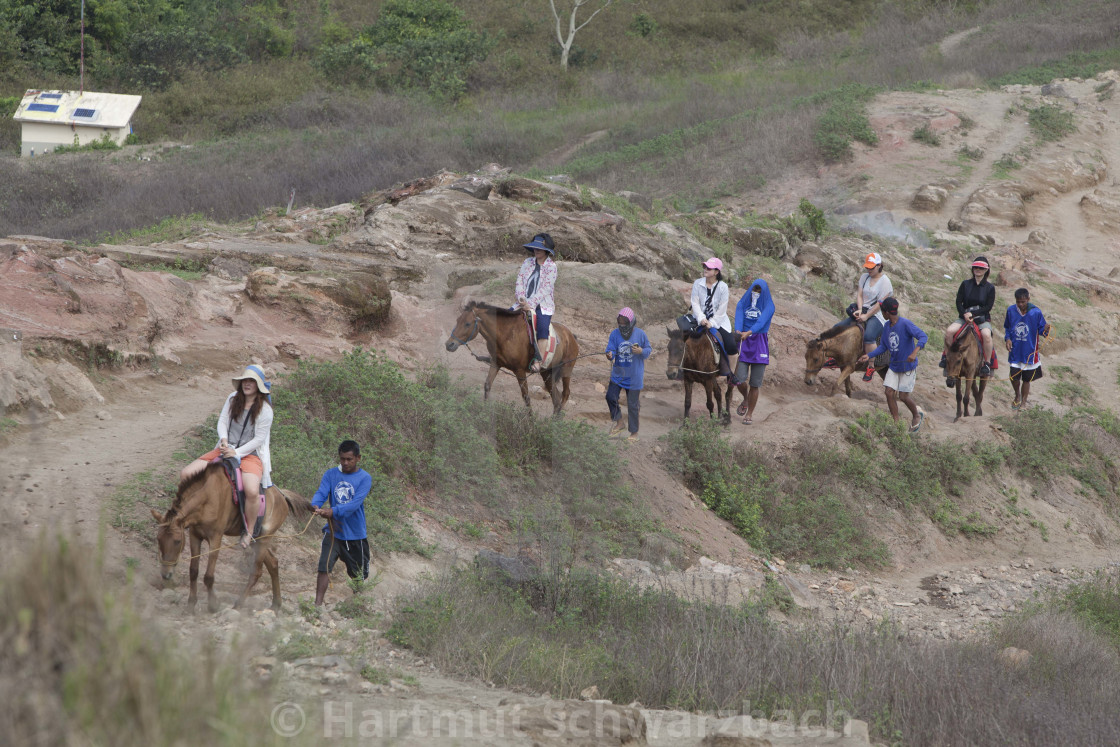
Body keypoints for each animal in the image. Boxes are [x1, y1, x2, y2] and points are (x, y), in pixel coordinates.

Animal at [148, 468, 315, 613]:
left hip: (263, 540)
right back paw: (275, 604)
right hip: (256, 540)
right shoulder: (195, 536)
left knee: (256, 572)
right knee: (273, 563)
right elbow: (193, 571)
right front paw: (191, 604)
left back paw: (239, 604)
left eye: (177, 541)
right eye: (159, 539)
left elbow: (208, 576)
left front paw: (213, 605)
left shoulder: (215, 538)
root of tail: (282, 496)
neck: (208, 498)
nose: (166, 574)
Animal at [441, 300, 577, 414]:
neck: (506, 335)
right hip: (546, 372)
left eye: (467, 324)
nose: (449, 344)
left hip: (566, 369)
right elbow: (487, 386)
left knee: (565, 393)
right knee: (556, 398)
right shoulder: (496, 364)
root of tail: (571, 336)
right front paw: (484, 411)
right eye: (457, 320)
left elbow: (526, 397)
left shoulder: (519, 371)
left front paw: (530, 421)